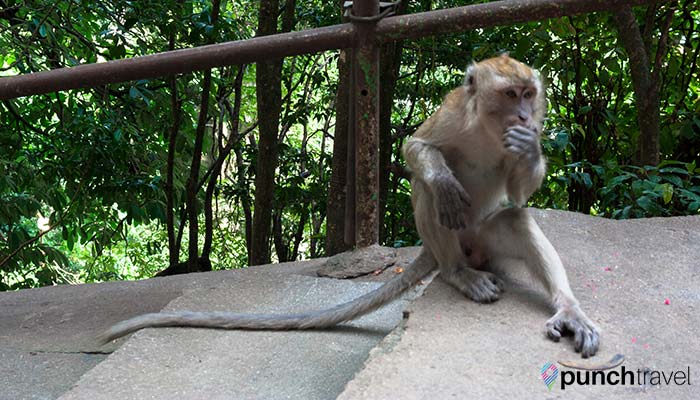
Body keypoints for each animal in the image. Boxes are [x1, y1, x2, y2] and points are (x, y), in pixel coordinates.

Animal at [101, 54, 600, 360]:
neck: (487, 129)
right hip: (452, 243)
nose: (524, 117)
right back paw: (460, 272)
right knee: (429, 196)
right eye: (511, 95)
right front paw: (443, 179)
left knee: (514, 218)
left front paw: (529, 147)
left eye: (530, 95)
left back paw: (569, 311)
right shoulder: (454, 114)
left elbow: (520, 193)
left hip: (484, 239)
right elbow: (416, 148)